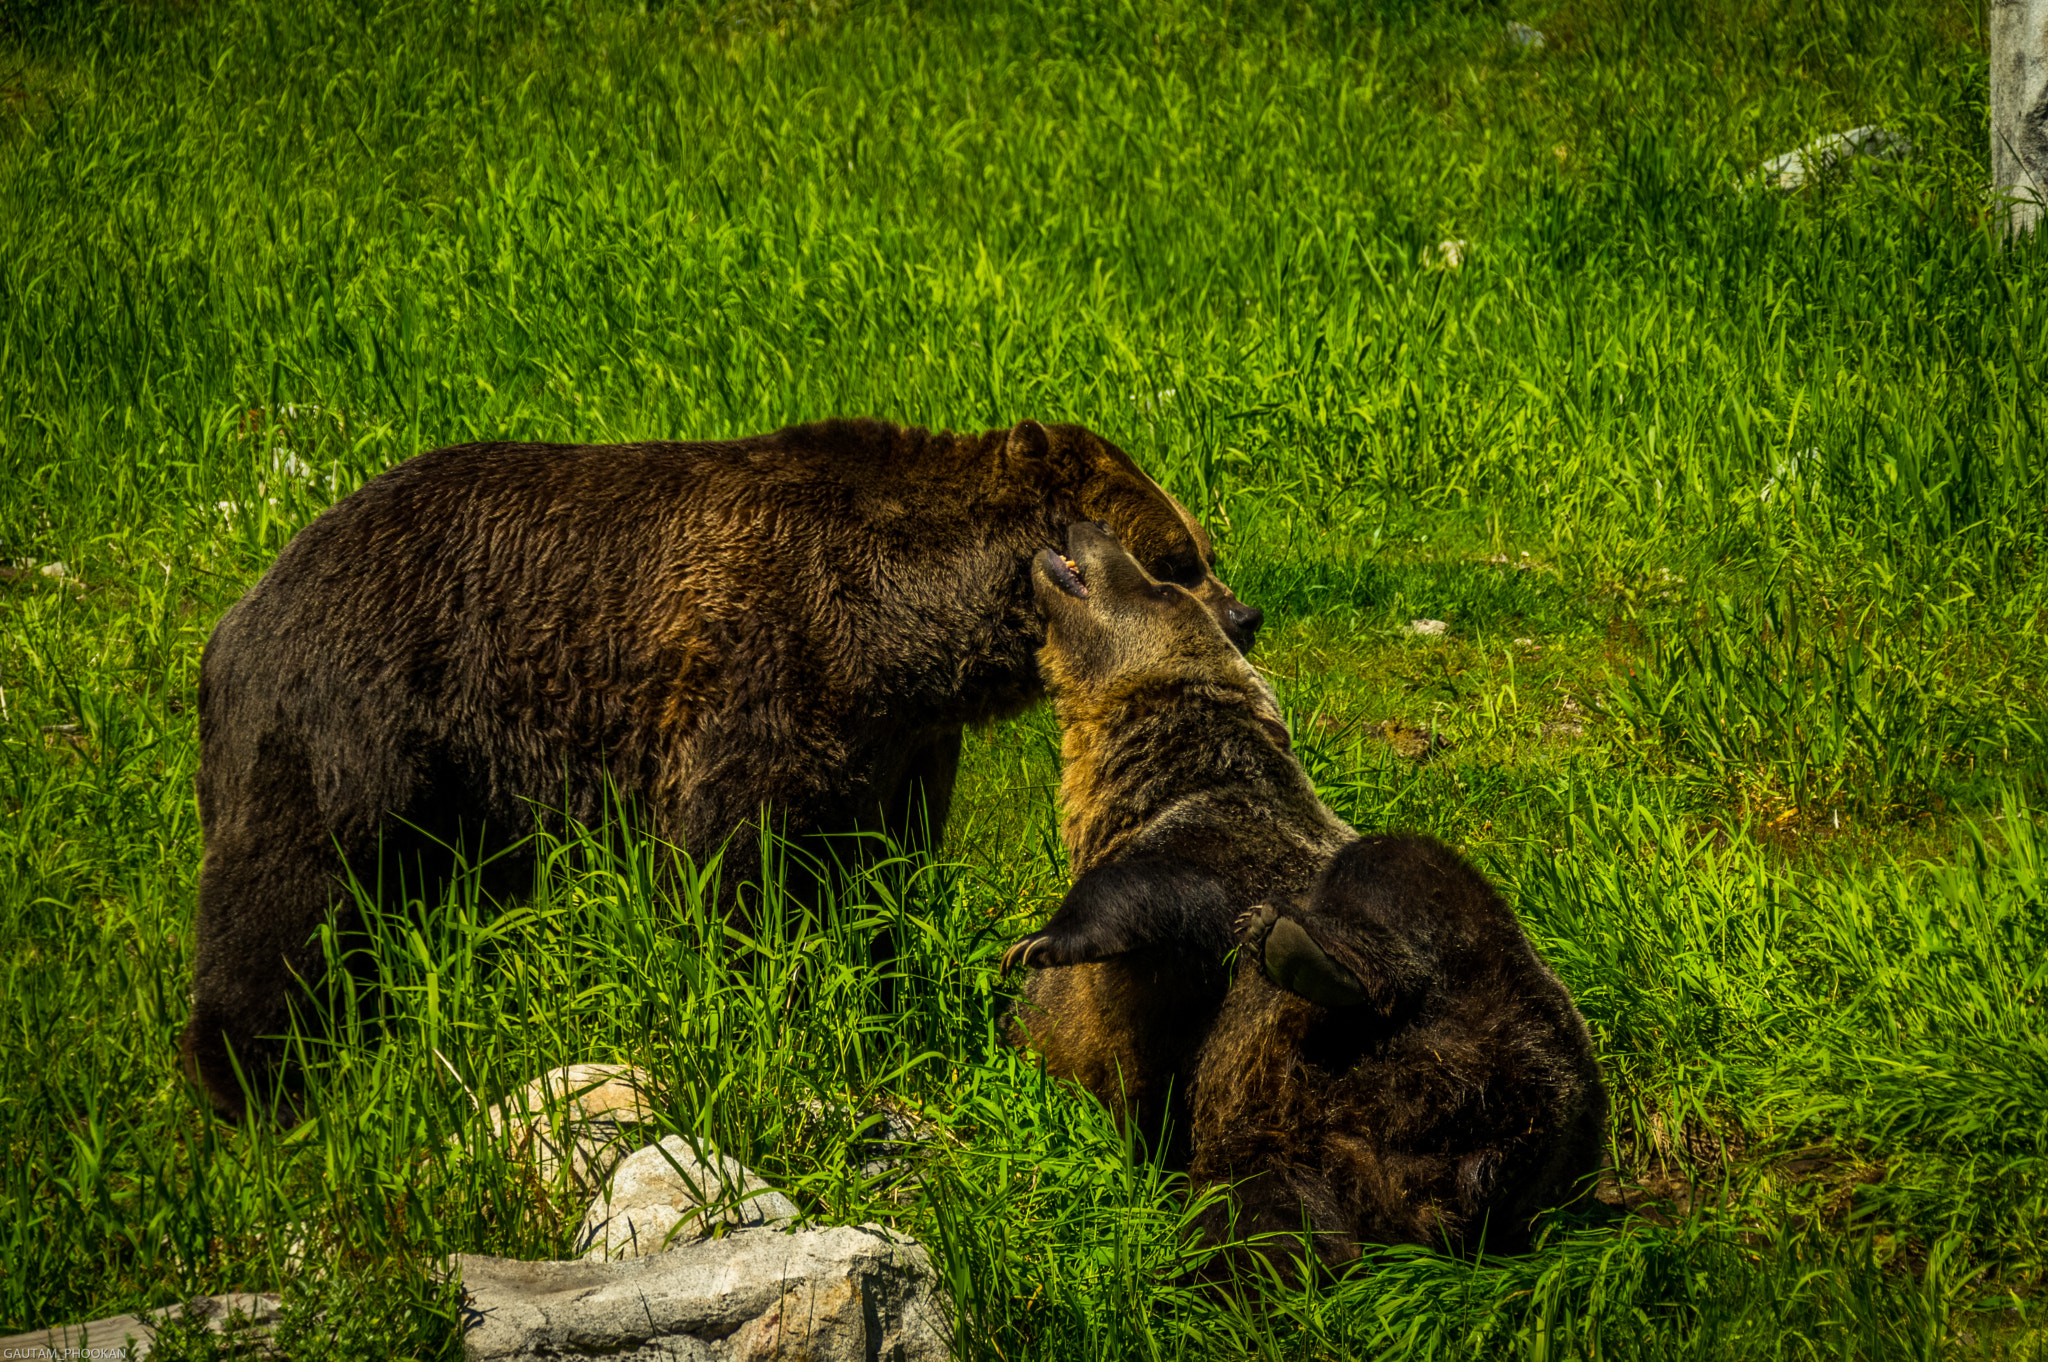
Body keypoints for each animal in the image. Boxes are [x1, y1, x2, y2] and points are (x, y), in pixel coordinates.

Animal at [184, 417, 1262, 1120]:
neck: (904, 631)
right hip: (361, 714)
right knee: (293, 886)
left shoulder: (896, 746)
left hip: (462, 783)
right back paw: (255, 1078)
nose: (1245, 614)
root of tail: (242, 608)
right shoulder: (760, 669)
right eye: (1175, 558)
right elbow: (736, 865)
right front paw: (759, 993)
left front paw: (874, 975)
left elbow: (880, 872)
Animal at [1002, 522, 1606, 1274]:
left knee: (1395, 874)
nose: (1088, 527)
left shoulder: (1224, 847)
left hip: (1503, 1015)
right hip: (1294, 1139)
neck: (1133, 785)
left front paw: (1039, 940)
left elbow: (1156, 896)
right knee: (1263, 1221)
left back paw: (1303, 951)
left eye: (1161, 587)